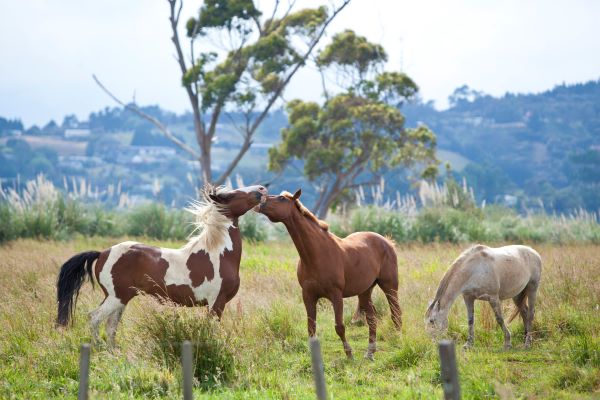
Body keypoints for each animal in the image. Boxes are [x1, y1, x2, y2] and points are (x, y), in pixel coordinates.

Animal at [56, 186, 268, 346]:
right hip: (116, 297)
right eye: (232, 194)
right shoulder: (216, 302)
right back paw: (98, 348)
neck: (218, 254)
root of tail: (102, 253)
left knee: (110, 326)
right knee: (94, 318)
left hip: (121, 299)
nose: (261, 190)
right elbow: (211, 330)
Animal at [258, 189, 404, 360]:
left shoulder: (336, 295)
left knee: (396, 313)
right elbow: (311, 327)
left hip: (390, 286)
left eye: (281, 198)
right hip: (365, 291)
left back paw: (398, 341)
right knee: (372, 318)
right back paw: (369, 353)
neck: (317, 254)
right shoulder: (308, 296)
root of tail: (387, 241)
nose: (260, 200)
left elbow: (339, 326)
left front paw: (349, 355)